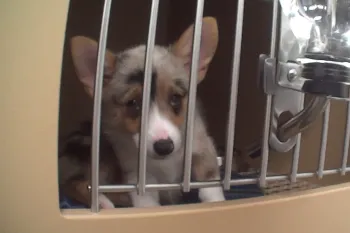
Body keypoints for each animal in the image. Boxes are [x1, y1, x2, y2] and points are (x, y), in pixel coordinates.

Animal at [69, 15, 226, 208]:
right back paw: (104, 203)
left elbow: (210, 185)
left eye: (175, 98)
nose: (164, 147)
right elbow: (147, 204)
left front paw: (217, 203)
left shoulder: (202, 148)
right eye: (133, 103)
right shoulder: (138, 177)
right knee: (79, 184)